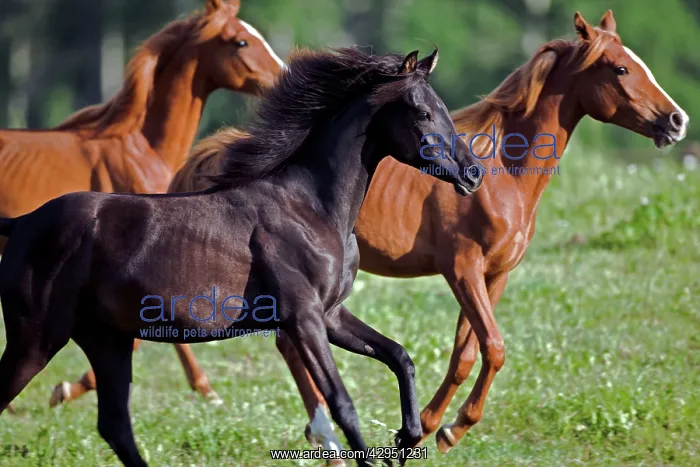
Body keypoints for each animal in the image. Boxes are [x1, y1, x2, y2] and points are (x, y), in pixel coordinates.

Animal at [0, 47, 485, 466]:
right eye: (423, 112)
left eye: (441, 107)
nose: (473, 172)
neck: (311, 206)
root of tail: (22, 222)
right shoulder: (303, 317)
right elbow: (342, 403)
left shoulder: (330, 315)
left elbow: (400, 356)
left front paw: (406, 439)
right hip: (36, 340)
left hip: (107, 341)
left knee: (115, 426)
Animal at [60, 9, 688, 458]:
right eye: (621, 69)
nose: (677, 120)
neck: (506, 172)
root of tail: (210, 153)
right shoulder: (462, 268)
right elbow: (491, 347)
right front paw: (439, 428)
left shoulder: (494, 275)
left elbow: (469, 350)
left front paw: (436, 428)